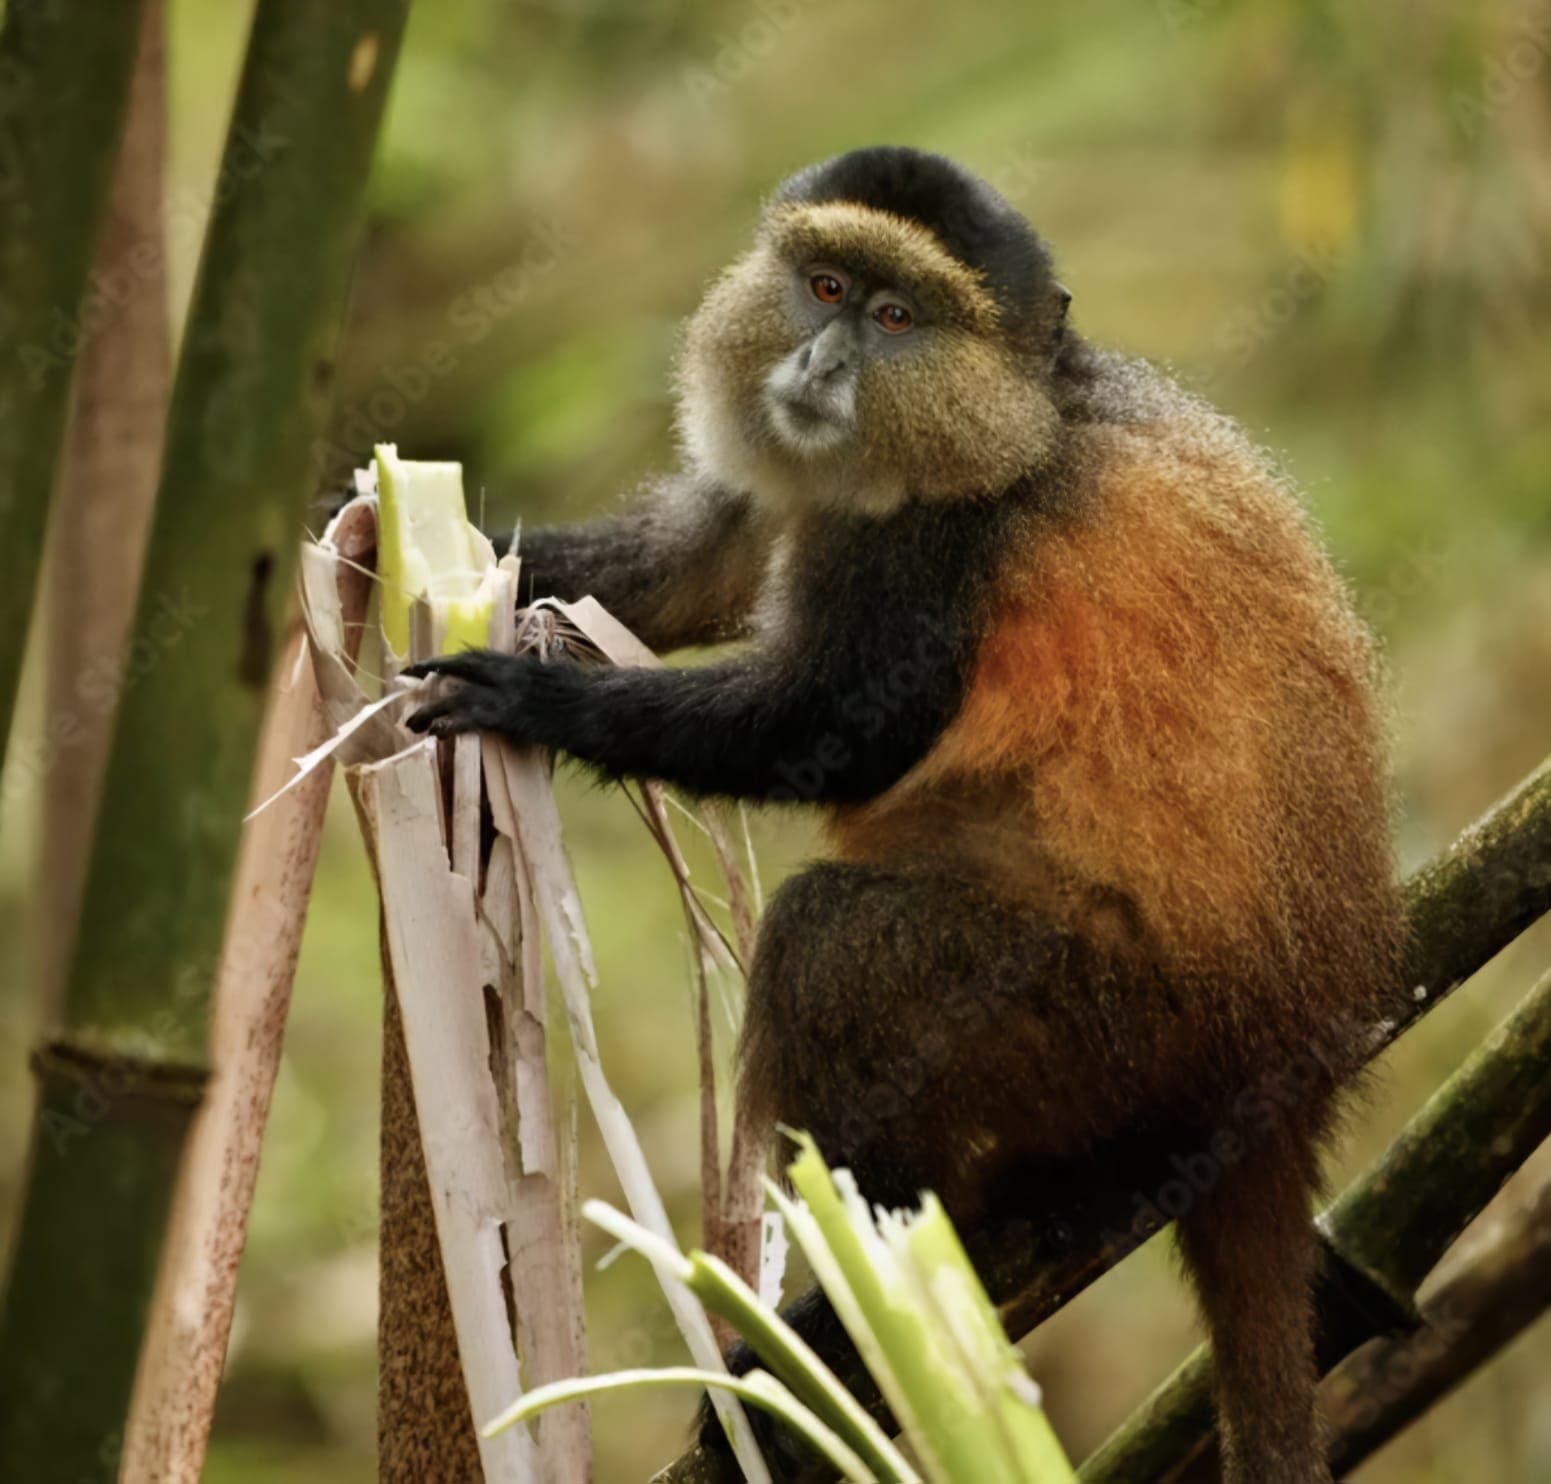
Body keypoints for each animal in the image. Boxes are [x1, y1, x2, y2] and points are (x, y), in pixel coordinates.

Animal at [404, 146, 1404, 1483]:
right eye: (825, 287)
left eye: (896, 318)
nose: (822, 367)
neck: (1026, 411)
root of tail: (1289, 1076)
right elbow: (689, 566)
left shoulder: (939, 541)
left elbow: (834, 725)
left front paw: (537, 698)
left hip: (1112, 1022)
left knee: (836, 945)